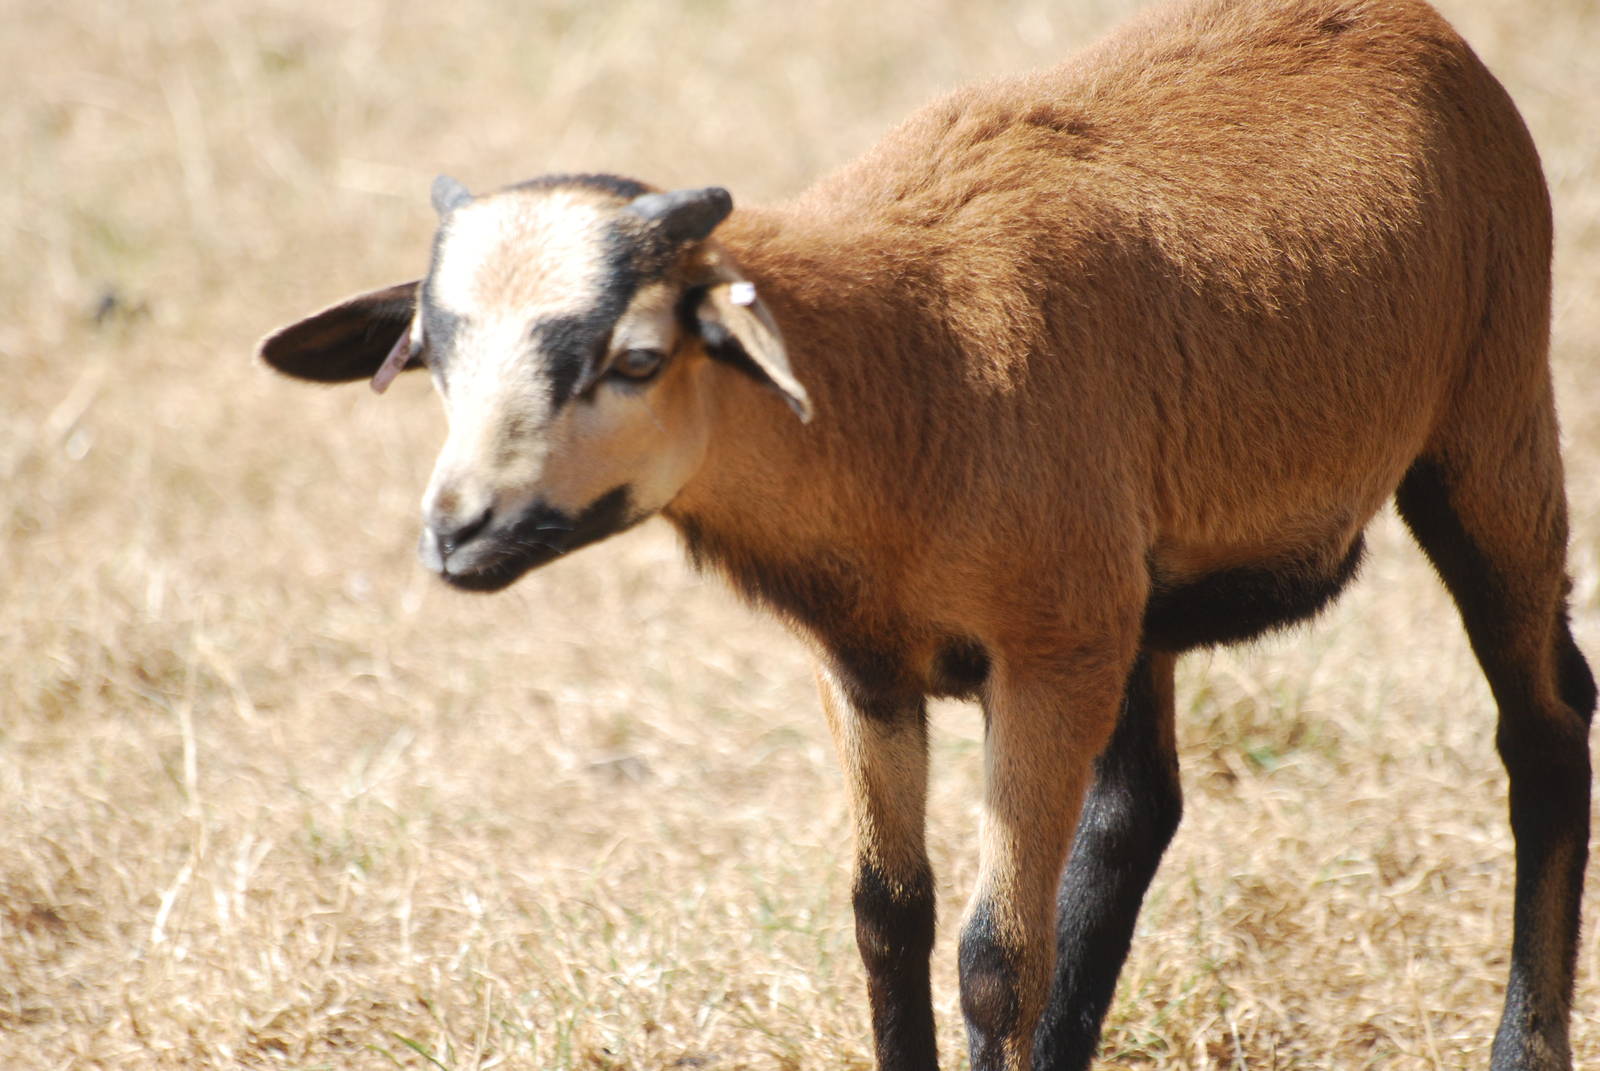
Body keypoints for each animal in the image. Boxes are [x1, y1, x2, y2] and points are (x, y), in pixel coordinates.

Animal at [255, 0, 1593, 1067]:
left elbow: (993, 957)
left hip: (1487, 416)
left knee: (1544, 721)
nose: (459, 533)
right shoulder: (868, 663)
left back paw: (1521, 1044)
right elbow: (885, 917)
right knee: (1135, 811)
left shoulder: (1041, 658)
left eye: (636, 357)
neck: (905, 376)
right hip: (1130, 595)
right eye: (433, 355)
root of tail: (1405, 19)